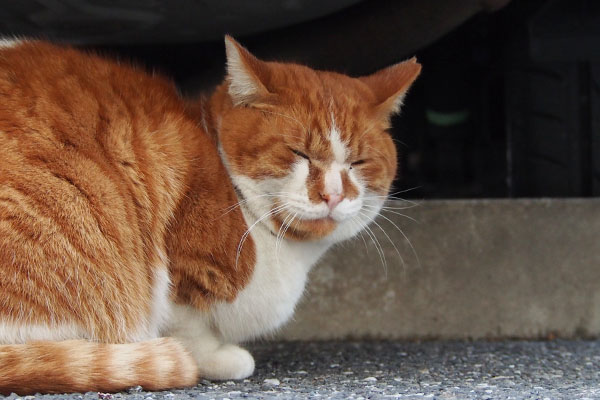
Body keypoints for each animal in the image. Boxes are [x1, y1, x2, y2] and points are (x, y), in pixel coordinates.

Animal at [0, 35, 422, 394]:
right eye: (298, 153)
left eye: (358, 163)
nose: (333, 195)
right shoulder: (180, 268)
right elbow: (187, 325)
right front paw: (213, 358)